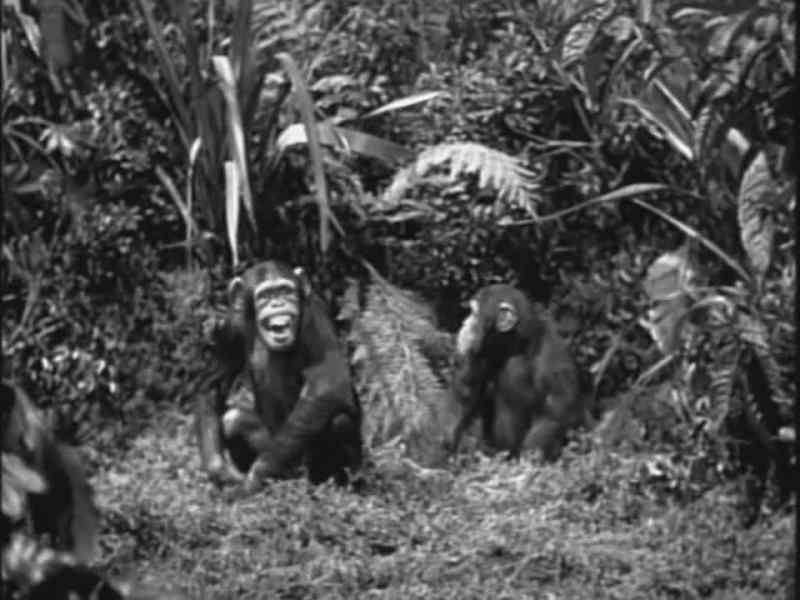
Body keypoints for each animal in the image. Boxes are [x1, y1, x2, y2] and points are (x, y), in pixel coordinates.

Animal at [195, 260, 363, 495]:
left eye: (285, 290)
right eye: (265, 295)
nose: (277, 303)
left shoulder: (314, 317)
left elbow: (326, 385)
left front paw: (254, 478)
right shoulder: (231, 325)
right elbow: (213, 384)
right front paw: (220, 469)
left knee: (340, 421)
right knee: (233, 420)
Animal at [446, 284, 590, 461]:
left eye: (474, 314)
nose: (465, 323)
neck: (516, 343)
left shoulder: (551, 349)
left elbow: (557, 408)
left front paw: (528, 459)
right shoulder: (485, 350)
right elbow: (467, 394)